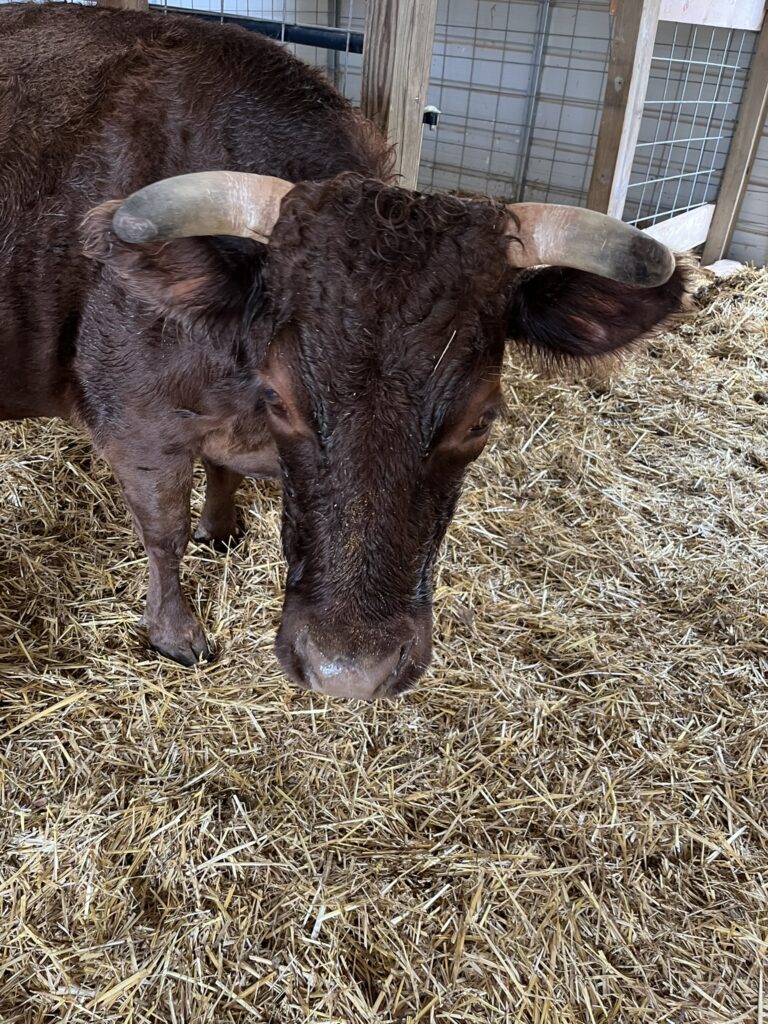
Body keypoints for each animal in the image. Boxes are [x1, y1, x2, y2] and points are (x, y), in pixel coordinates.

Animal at [0, 3, 690, 699]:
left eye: (482, 419)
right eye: (280, 399)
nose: (349, 670)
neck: (240, 405)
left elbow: (217, 483)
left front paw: (222, 530)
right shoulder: (135, 425)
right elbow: (164, 533)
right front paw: (176, 634)